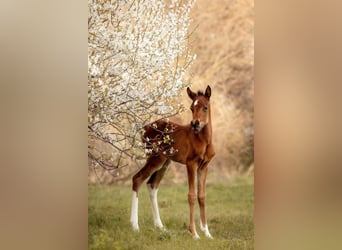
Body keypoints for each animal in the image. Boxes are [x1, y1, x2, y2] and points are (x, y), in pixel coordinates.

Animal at [130, 85, 215, 238]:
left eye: (205, 107)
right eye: (191, 108)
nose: (195, 124)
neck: (204, 141)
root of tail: (144, 128)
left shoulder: (204, 166)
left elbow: (202, 196)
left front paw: (207, 233)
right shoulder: (191, 164)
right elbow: (192, 195)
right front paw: (194, 233)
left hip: (165, 162)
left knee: (152, 185)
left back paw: (160, 226)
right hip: (155, 159)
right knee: (137, 178)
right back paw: (135, 226)